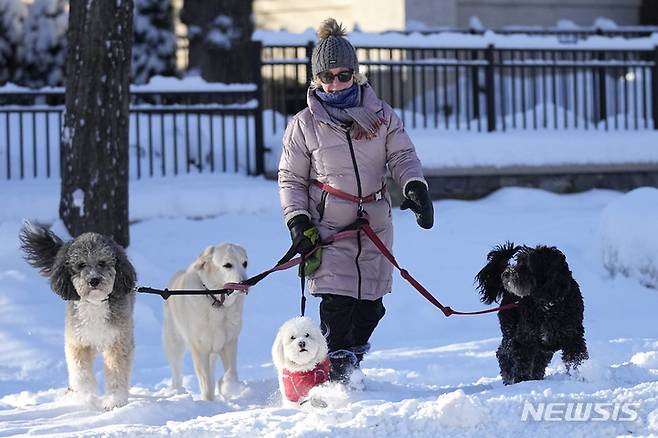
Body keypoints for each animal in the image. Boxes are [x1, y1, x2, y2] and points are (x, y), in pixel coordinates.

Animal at [163, 243, 247, 400]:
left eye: (245, 263)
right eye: (227, 265)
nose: (244, 283)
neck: (217, 302)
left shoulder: (229, 343)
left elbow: (231, 372)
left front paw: (228, 386)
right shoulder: (200, 349)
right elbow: (206, 383)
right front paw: (208, 401)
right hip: (174, 344)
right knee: (176, 373)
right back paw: (177, 391)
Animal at [474, 245, 588, 384]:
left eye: (527, 265)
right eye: (518, 261)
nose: (506, 274)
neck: (548, 304)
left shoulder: (573, 336)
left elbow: (576, 359)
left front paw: (579, 376)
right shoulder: (525, 339)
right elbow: (523, 365)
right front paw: (522, 381)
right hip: (510, 332)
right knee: (503, 354)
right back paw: (509, 377)